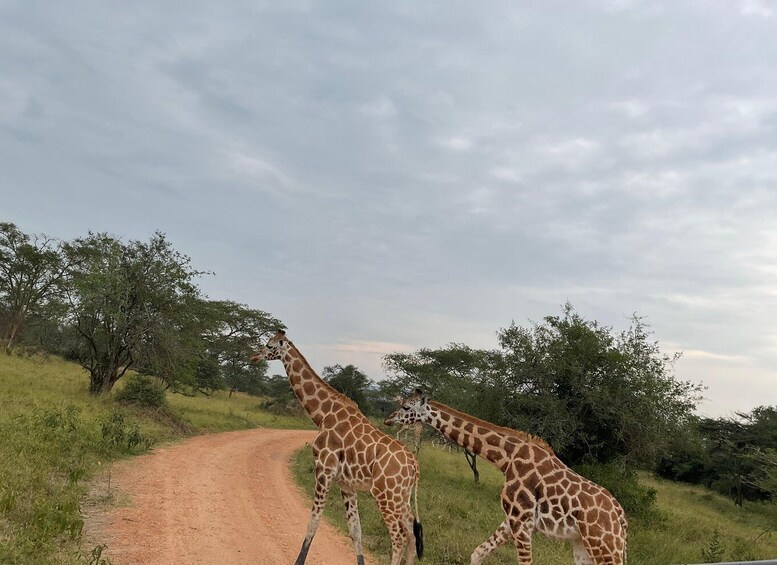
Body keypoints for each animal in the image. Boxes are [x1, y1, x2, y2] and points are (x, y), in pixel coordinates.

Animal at [250, 331, 423, 565]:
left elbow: (314, 521)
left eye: (269, 345)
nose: (254, 357)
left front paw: (298, 561)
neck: (322, 414)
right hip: (401, 496)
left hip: (385, 494)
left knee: (398, 538)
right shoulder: (346, 484)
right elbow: (355, 530)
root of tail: (414, 465)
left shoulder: (324, 470)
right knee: (412, 536)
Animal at [385, 390, 627, 565]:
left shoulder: (522, 522)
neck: (507, 458)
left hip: (604, 546)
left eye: (406, 406)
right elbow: (477, 553)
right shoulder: (512, 519)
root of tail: (622, 520)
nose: (388, 419)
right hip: (583, 545)